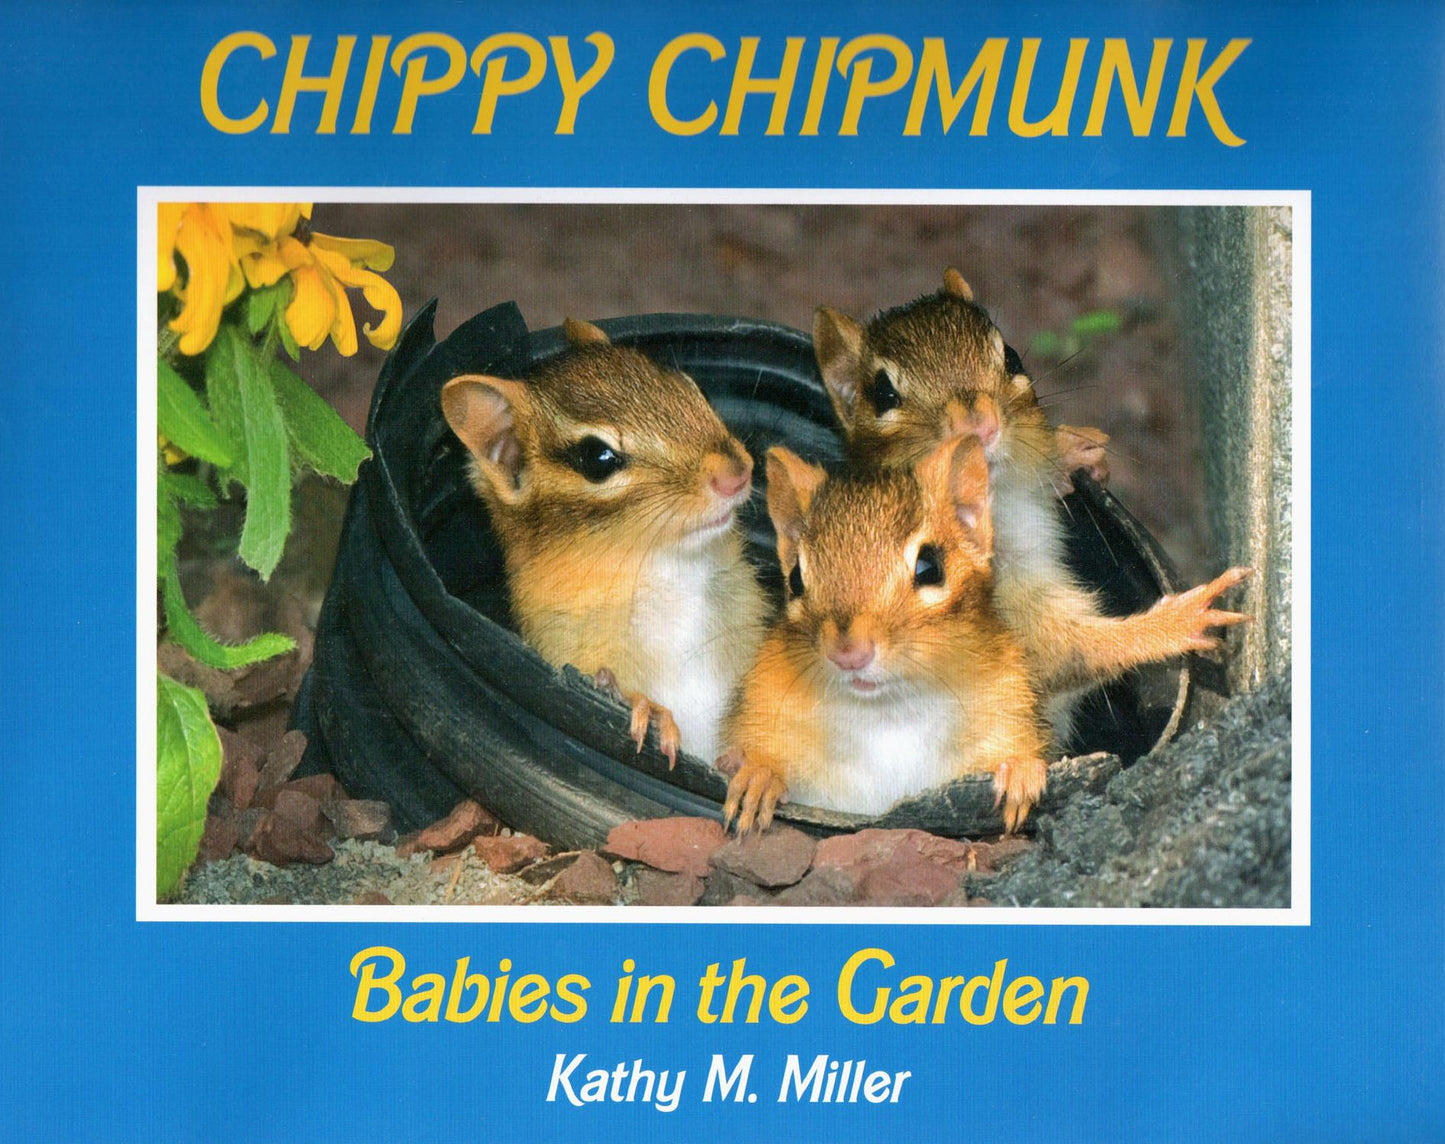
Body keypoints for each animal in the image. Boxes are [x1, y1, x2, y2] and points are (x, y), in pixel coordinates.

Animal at [720, 434, 1048, 834]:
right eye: (795, 579)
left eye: (930, 567)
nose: (848, 653)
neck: (888, 713)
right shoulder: (763, 704)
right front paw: (760, 775)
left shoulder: (1009, 702)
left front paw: (1019, 771)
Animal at [812, 268, 1250, 748]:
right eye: (882, 394)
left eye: (1013, 358)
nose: (980, 425)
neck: (1004, 507)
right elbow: (1072, 652)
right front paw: (1176, 621)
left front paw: (1069, 451)